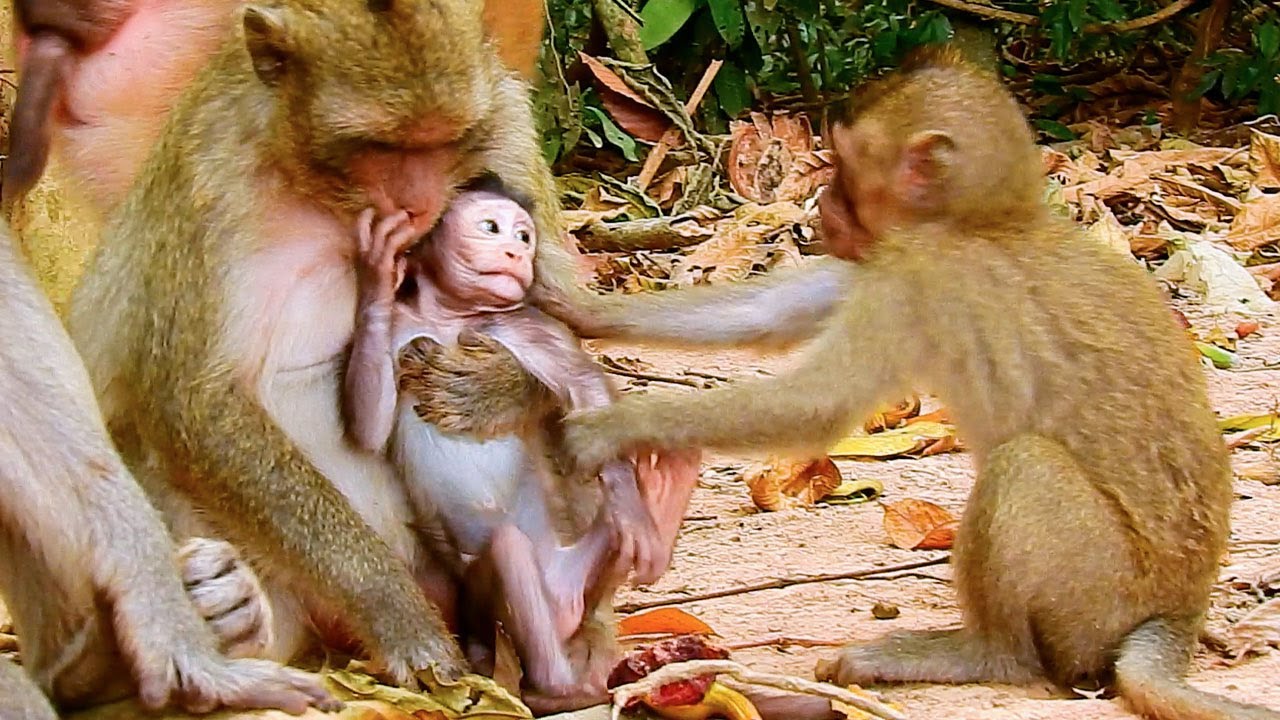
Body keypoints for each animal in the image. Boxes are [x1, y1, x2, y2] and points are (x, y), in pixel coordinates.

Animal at [343, 190, 695, 699]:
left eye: (524, 235)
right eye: (491, 227)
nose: (517, 253)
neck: (449, 315)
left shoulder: (525, 326)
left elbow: (582, 382)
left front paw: (632, 513)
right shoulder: (399, 331)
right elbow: (367, 429)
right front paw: (378, 278)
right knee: (509, 553)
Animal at [538, 47, 1280, 720]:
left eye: (844, 163)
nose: (822, 206)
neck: (986, 221)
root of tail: (1181, 610)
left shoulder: (916, 270)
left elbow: (817, 403)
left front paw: (613, 427)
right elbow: (787, 311)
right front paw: (581, 307)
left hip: (1101, 594)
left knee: (1024, 467)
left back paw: (986, 655)